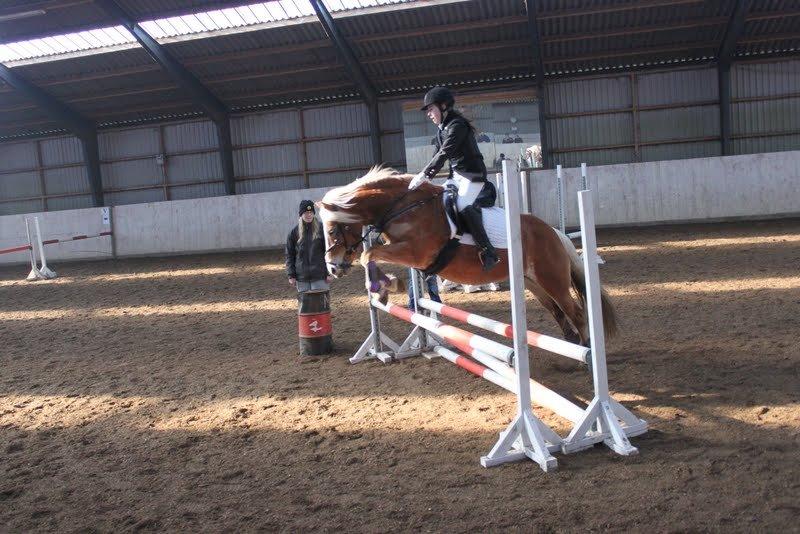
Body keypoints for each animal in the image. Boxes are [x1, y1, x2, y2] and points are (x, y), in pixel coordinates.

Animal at [318, 165, 620, 348]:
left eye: (332, 230)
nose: (332, 268)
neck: (404, 208)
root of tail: (553, 232)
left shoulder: (415, 252)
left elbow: (368, 253)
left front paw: (386, 287)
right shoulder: (410, 256)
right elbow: (371, 255)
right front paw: (384, 288)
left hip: (552, 279)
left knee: (576, 312)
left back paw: (586, 353)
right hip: (533, 282)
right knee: (558, 311)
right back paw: (571, 346)